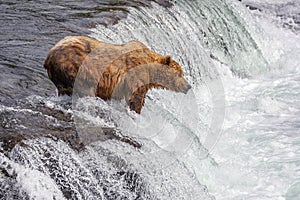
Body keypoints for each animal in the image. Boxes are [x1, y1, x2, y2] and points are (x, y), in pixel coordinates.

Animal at [44, 36, 190, 113]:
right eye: (180, 74)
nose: (188, 86)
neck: (150, 68)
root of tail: (49, 56)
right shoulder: (135, 75)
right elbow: (136, 98)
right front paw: (135, 112)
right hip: (77, 68)